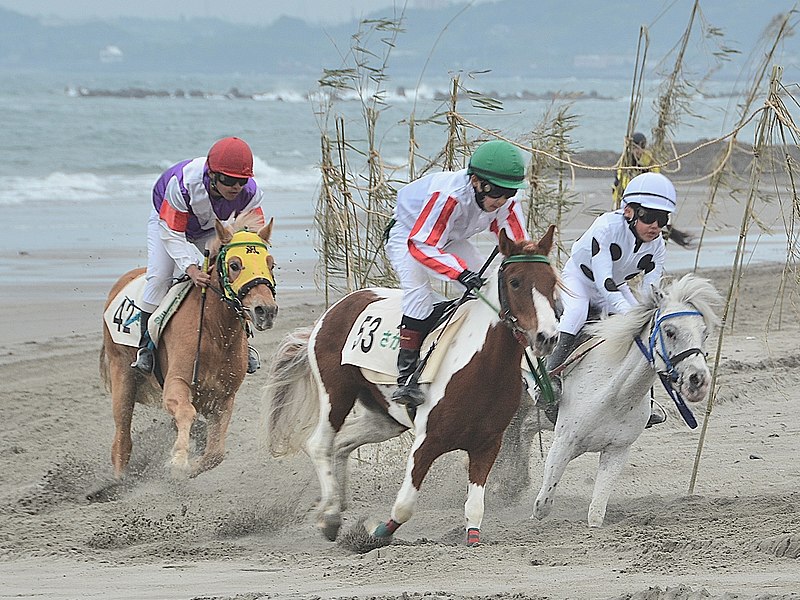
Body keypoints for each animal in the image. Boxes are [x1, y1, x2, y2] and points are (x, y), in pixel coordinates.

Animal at [100, 212, 278, 482]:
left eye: (271, 264)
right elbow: (186, 412)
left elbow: (215, 454)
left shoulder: (223, 399)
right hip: (122, 376)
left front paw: (190, 465)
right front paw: (178, 460)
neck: (216, 333)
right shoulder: (177, 383)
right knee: (121, 440)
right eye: (235, 265)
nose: (265, 310)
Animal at [262, 226, 556, 548]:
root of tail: (336, 308)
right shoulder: (427, 442)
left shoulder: (487, 444)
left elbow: (475, 510)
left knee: (343, 443)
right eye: (515, 282)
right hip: (336, 394)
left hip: (386, 416)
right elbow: (404, 506)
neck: (480, 367)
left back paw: (336, 507)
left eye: (552, 282)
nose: (547, 337)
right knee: (320, 444)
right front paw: (378, 533)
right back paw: (329, 516)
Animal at [536, 274, 720, 528]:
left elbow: (596, 513)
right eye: (670, 331)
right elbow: (542, 505)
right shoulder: (563, 443)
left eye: (704, 333)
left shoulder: (617, 451)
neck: (614, 395)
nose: (698, 380)